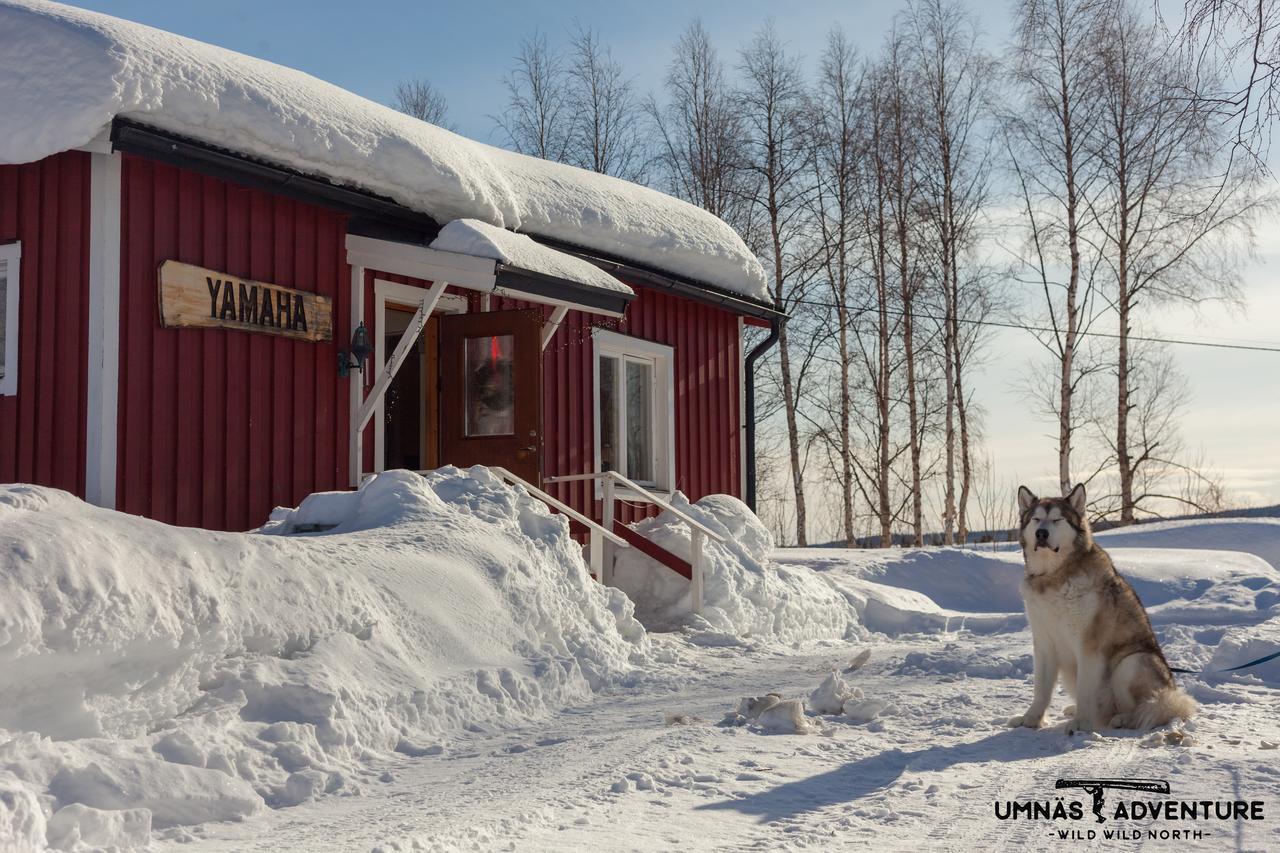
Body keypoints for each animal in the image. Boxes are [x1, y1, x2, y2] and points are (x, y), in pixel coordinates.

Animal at [1008, 484, 1198, 732]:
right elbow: (1041, 689)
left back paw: (1121, 719)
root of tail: (1171, 690)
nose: (1041, 534)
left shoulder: (1089, 645)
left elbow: (1086, 690)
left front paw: (1081, 723)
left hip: (1131, 663)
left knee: (1145, 709)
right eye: (1036, 519)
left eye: (1057, 519)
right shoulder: (1044, 643)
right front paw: (1030, 719)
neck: (1053, 576)